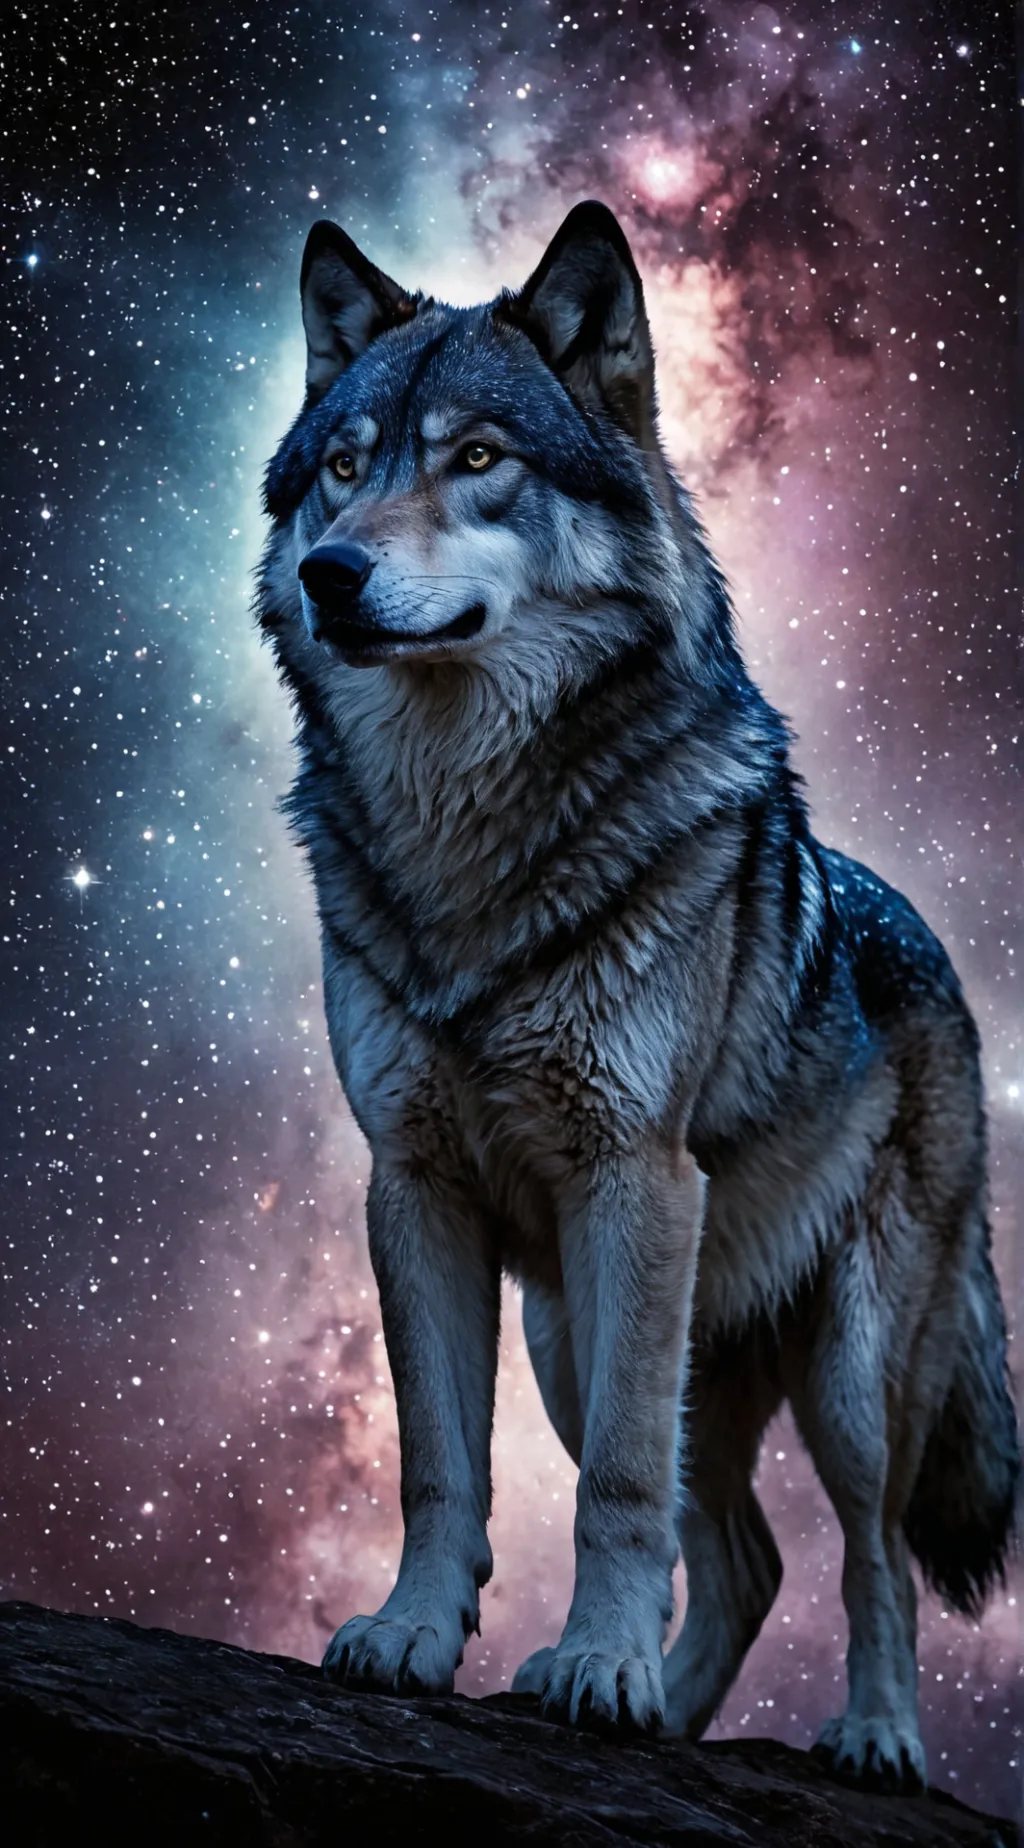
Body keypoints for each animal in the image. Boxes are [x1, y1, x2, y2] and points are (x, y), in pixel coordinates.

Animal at [256, 199, 1019, 1793]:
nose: (329, 575)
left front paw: (598, 1666)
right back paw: (666, 1712)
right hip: (578, 1334)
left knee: (868, 1558)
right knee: (746, 1555)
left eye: (480, 458)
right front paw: (418, 1639)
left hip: (851, 1372)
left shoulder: (637, 1178)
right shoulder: (413, 1186)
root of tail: (932, 945)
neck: (467, 839)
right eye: (343, 468)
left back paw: (873, 1737)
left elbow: (614, 1485)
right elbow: (436, 1462)